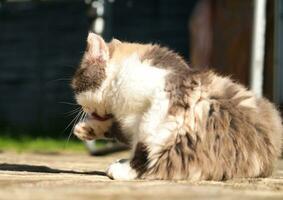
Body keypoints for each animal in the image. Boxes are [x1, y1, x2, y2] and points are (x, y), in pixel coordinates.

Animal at [71, 32, 283, 180]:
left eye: (77, 85)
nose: (79, 105)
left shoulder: (166, 101)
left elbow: (147, 143)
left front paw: (128, 169)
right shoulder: (131, 119)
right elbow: (120, 129)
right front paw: (87, 128)